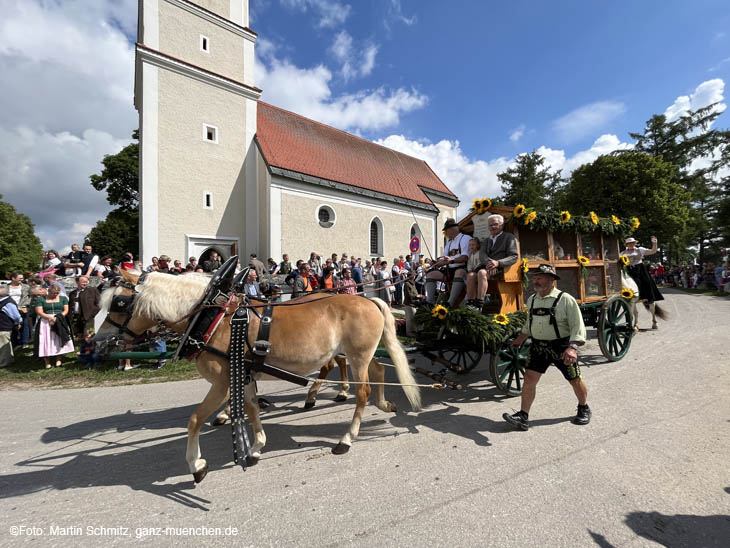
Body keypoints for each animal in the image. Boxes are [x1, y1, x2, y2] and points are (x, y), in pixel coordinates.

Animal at [95, 268, 420, 482]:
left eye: (119, 303)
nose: (98, 339)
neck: (214, 317)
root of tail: (368, 300)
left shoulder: (223, 382)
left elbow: (195, 419)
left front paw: (196, 465)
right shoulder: (244, 374)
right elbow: (250, 409)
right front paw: (255, 447)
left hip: (357, 354)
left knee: (362, 391)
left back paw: (347, 437)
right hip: (360, 354)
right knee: (378, 370)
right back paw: (384, 404)